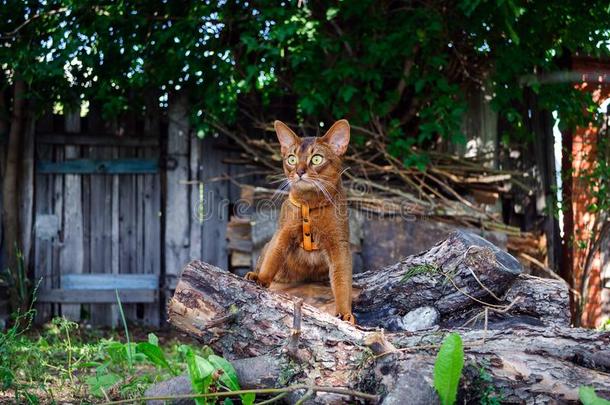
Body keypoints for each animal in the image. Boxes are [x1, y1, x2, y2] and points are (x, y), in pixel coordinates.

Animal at [245, 118, 354, 324]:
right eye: (292, 159)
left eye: (316, 159)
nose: (299, 172)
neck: (309, 204)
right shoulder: (283, 232)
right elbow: (272, 257)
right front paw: (261, 278)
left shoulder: (339, 244)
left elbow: (342, 280)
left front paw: (344, 313)